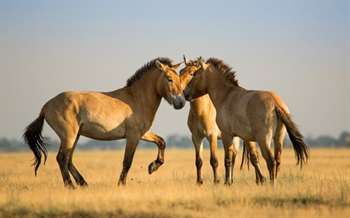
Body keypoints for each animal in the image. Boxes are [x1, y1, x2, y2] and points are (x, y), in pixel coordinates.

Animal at [23, 57, 186, 188]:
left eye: (179, 79)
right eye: (169, 78)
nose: (181, 103)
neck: (136, 99)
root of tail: (46, 106)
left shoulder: (142, 133)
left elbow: (161, 142)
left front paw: (152, 167)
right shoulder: (133, 136)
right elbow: (127, 162)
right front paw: (121, 184)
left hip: (75, 136)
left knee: (68, 159)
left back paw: (83, 183)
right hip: (69, 136)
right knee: (62, 158)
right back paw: (71, 186)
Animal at [183, 57, 308, 185]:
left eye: (194, 74)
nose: (185, 93)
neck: (226, 96)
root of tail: (276, 103)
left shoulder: (226, 135)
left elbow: (227, 160)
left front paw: (226, 183)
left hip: (263, 139)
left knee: (270, 161)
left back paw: (270, 184)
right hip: (278, 138)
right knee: (277, 161)